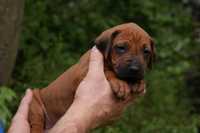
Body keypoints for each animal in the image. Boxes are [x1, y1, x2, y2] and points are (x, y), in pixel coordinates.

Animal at [28, 22, 156, 132]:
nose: (135, 69)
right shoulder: (83, 72)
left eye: (146, 51)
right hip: (35, 107)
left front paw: (139, 82)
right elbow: (107, 71)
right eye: (121, 48)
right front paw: (120, 84)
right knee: (36, 124)